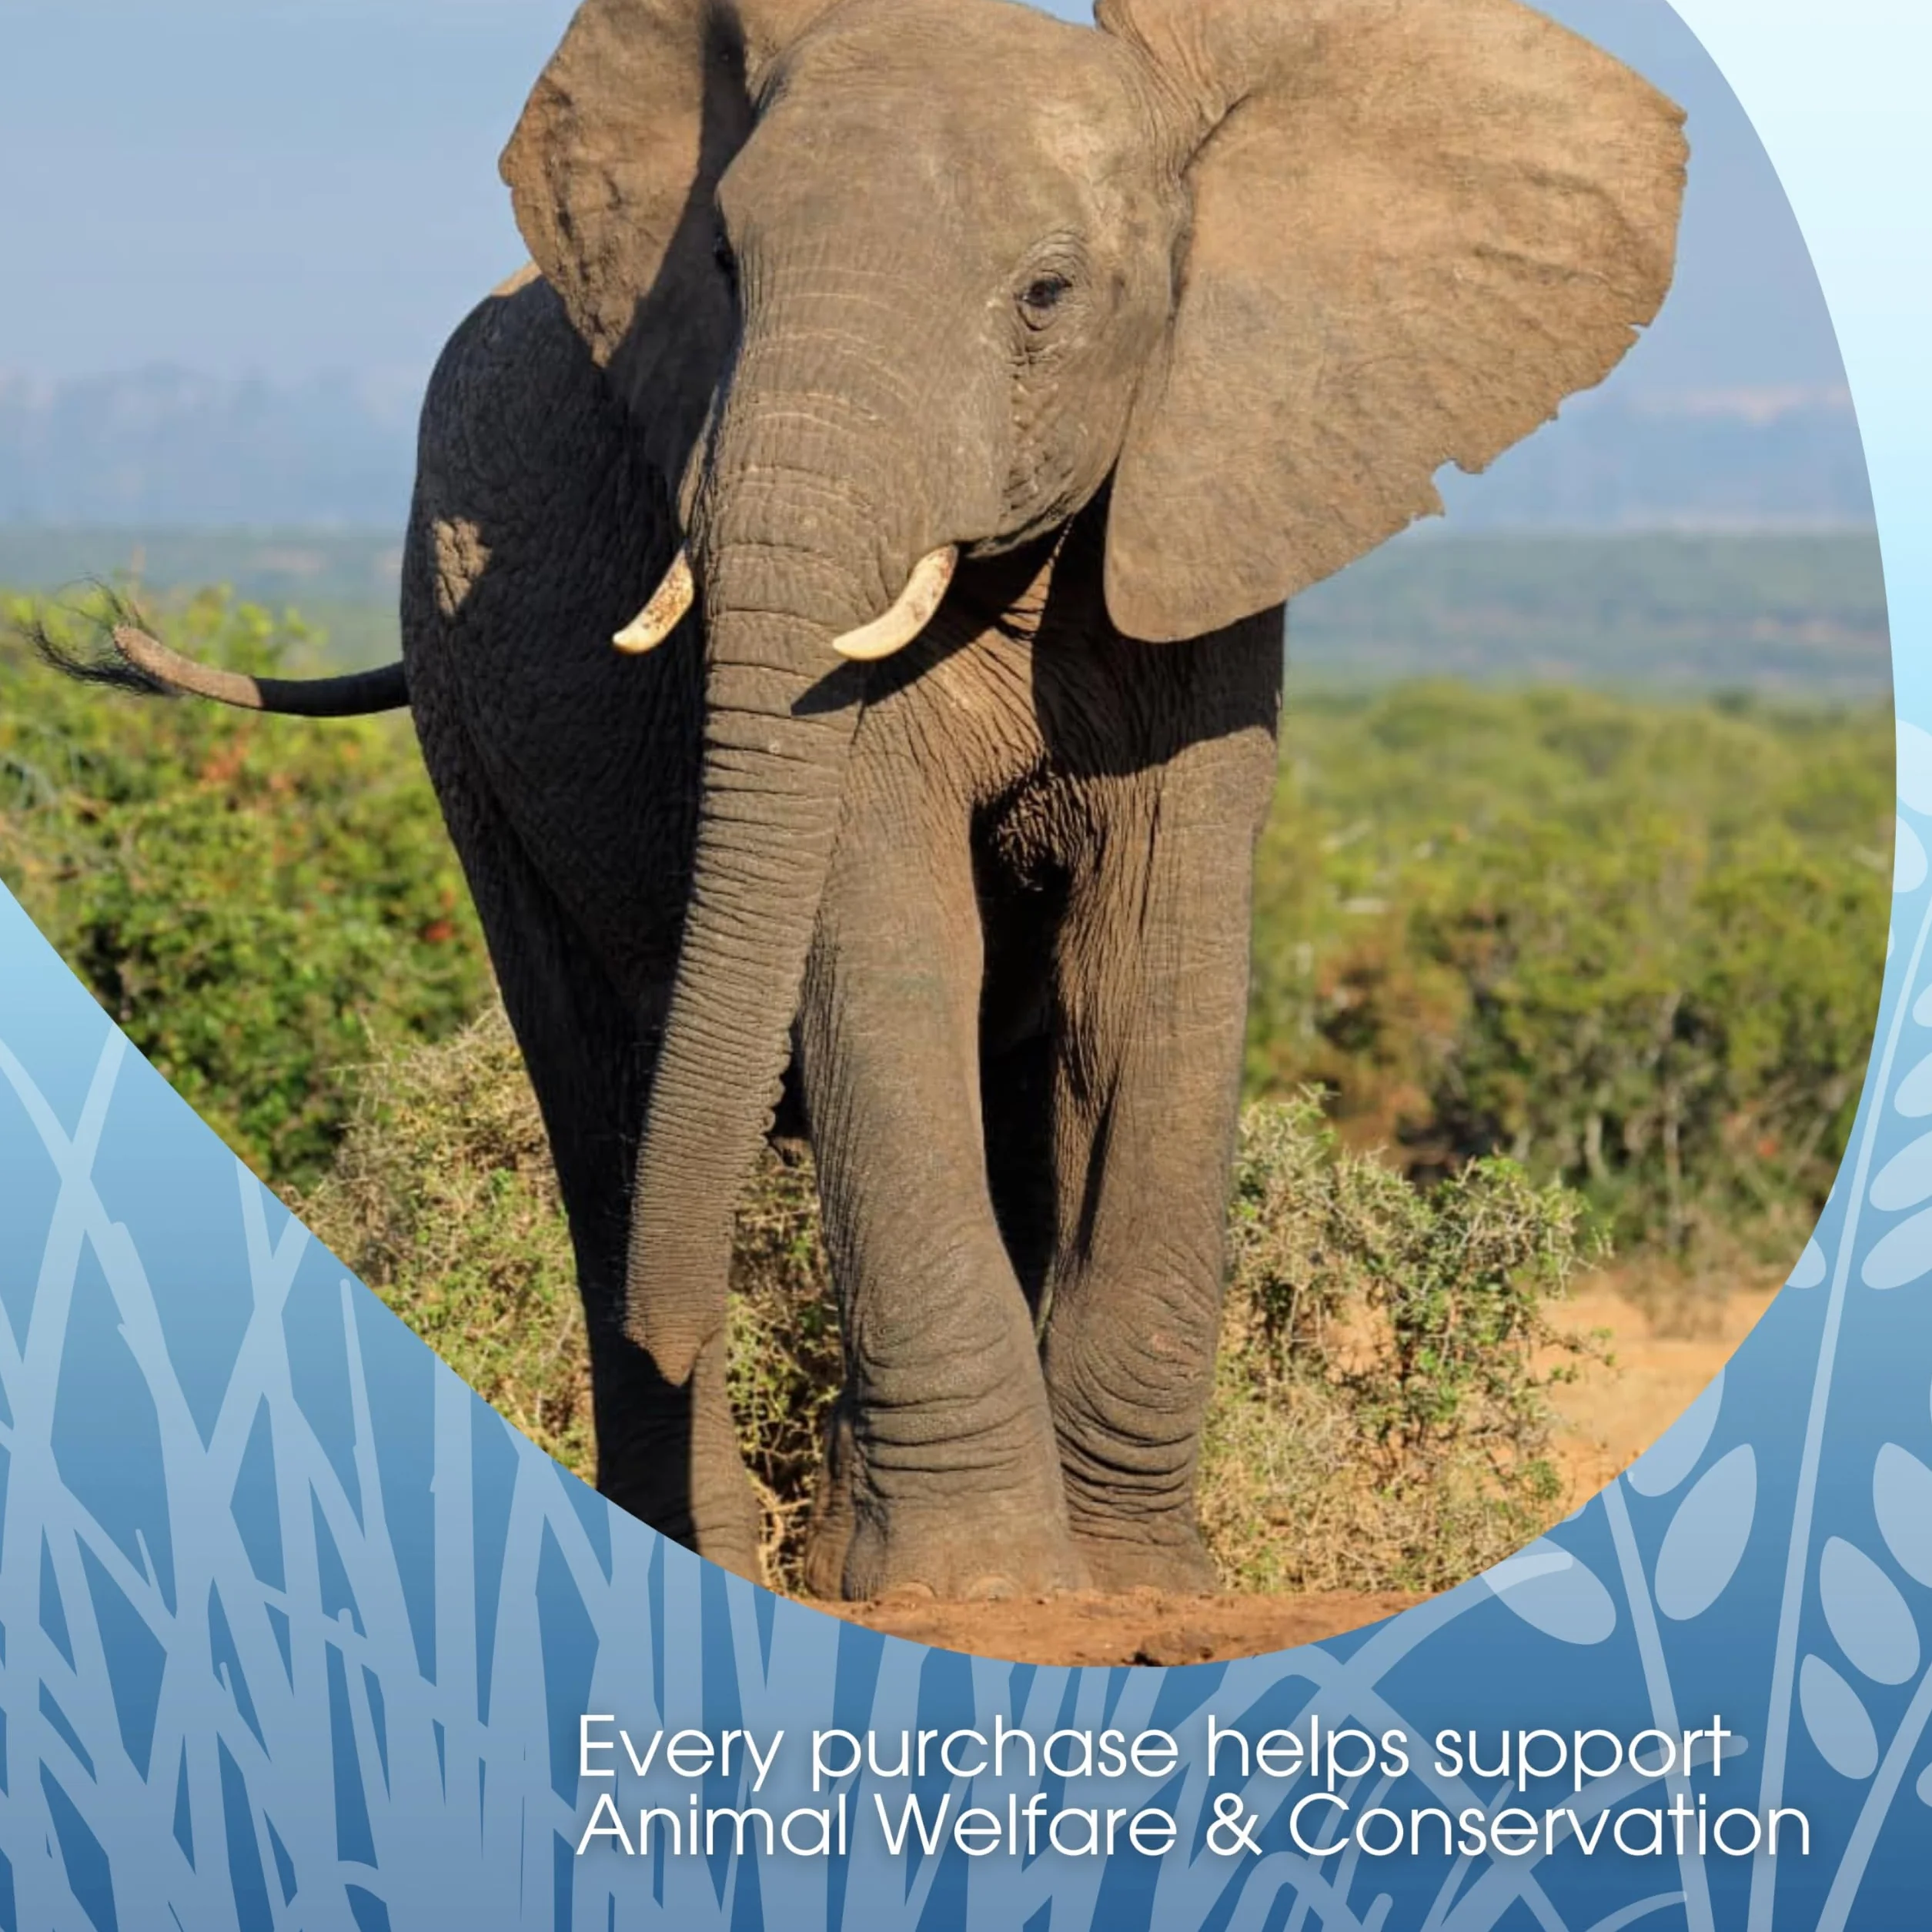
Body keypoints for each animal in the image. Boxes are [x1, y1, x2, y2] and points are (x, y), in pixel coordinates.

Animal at [72, 0, 1684, 1601]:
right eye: (725, 269)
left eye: (1046, 295)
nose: (689, 1319)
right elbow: (889, 944)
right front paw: (985, 1591)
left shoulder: (1211, 525)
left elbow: (1147, 971)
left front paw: (1134, 1591)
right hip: (459, 686)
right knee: (597, 1096)